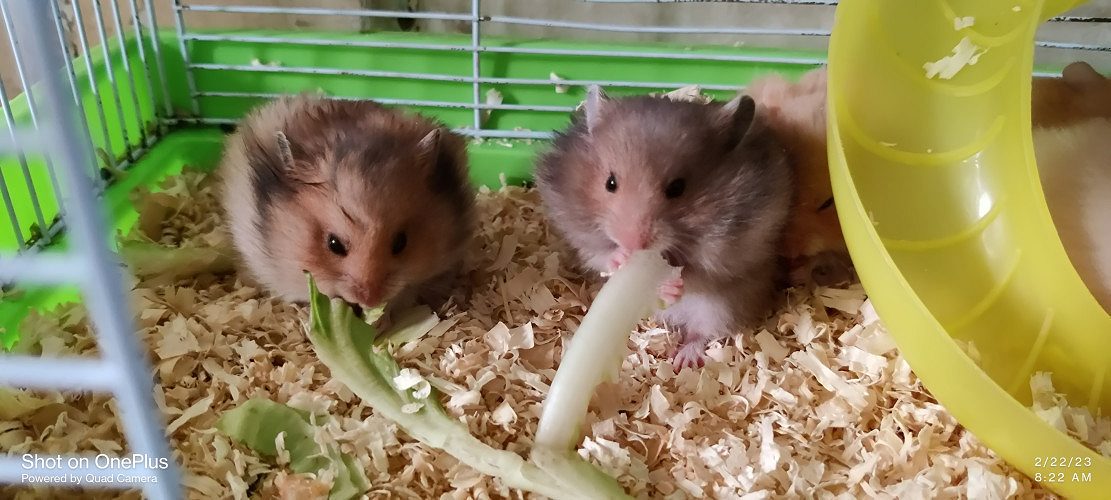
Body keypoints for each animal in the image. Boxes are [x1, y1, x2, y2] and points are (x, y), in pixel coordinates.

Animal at [534, 85, 794, 370]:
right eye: (610, 183)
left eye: (677, 188)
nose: (634, 243)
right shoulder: (582, 235)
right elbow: (600, 255)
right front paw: (620, 258)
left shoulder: (735, 253)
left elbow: (698, 275)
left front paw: (671, 285)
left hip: (722, 308)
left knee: (702, 332)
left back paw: (683, 360)